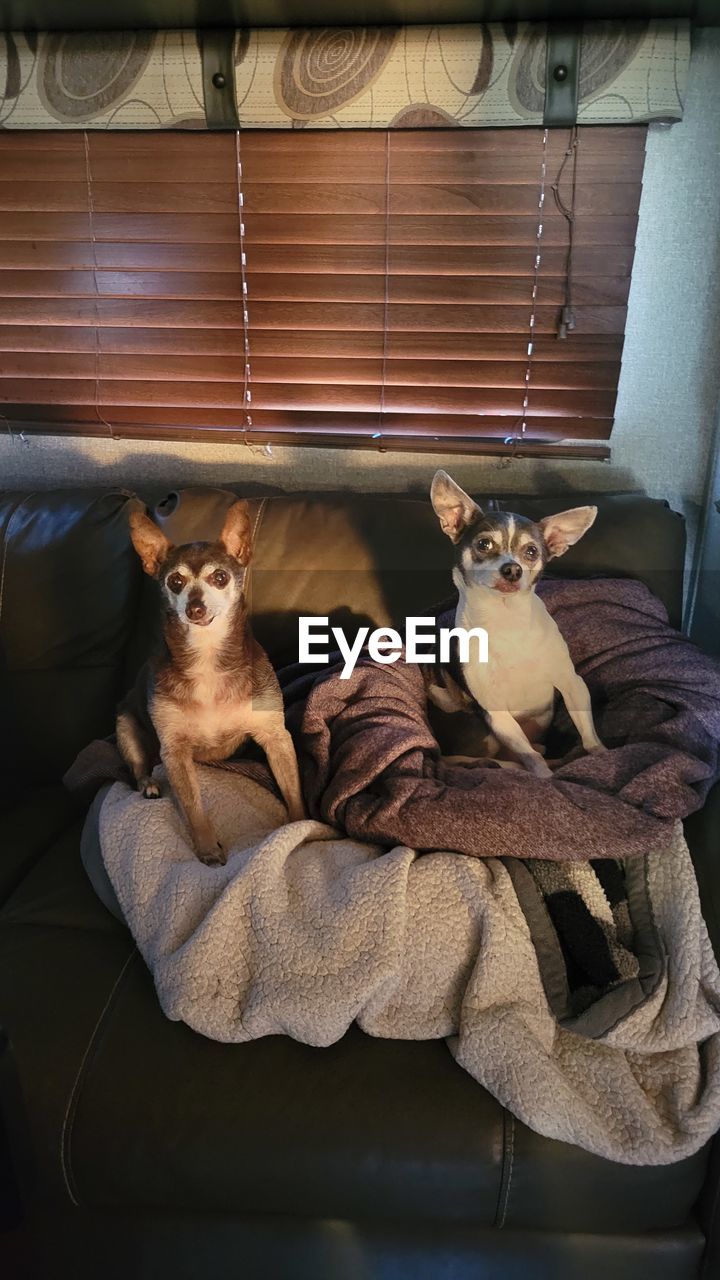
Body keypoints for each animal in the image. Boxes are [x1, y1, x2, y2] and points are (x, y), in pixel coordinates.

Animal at [117, 494, 302, 865]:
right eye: (175, 581)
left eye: (220, 577)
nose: (195, 609)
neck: (207, 657)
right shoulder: (174, 751)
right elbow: (192, 805)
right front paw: (206, 848)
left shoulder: (276, 737)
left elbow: (294, 792)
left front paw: (308, 826)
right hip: (125, 726)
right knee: (139, 765)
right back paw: (148, 784)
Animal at [427, 465, 602, 773]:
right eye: (484, 544)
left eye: (531, 551)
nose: (512, 569)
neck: (506, 619)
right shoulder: (496, 713)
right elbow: (533, 760)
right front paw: (546, 777)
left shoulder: (572, 683)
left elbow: (587, 731)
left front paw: (600, 753)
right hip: (479, 730)